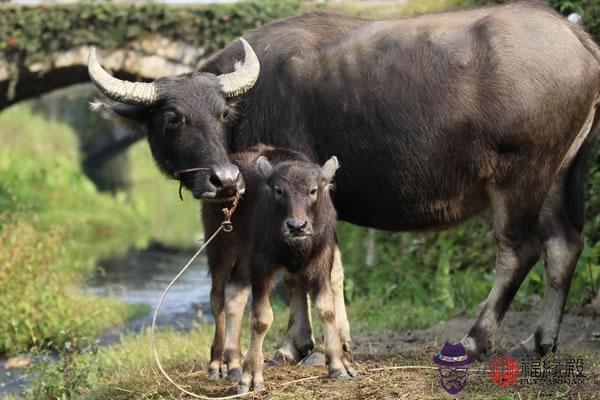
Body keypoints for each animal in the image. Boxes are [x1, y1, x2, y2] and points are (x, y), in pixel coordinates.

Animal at [88, 2, 600, 360]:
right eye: (172, 118)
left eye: (222, 114)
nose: (224, 179)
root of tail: (575, 35)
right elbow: (332, 269)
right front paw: (339, 342)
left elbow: (296, 271)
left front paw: (294, 345)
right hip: (558, 173)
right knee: (564, 245)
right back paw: (539, 341)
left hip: (521, 174)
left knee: (519, 250)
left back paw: (474, 341)